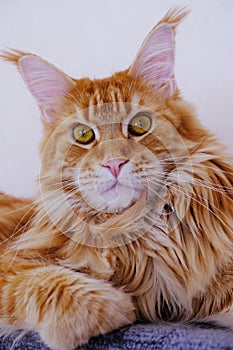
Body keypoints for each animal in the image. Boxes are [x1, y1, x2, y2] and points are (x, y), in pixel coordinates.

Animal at [0, 6, 232, 350]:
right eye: (83, 135)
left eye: (140, 125)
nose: (113, 163)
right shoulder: (12, 258)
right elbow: (41, 280)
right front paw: (113, 307)